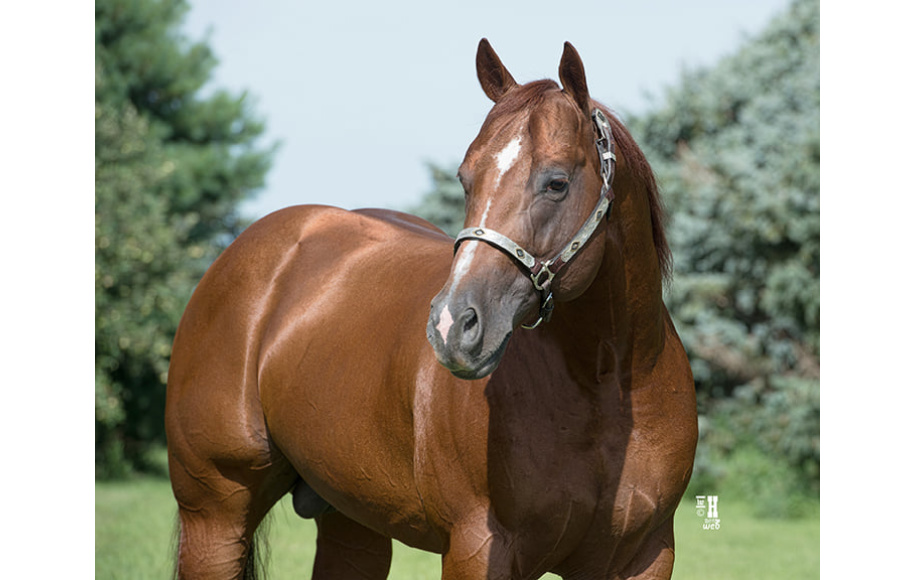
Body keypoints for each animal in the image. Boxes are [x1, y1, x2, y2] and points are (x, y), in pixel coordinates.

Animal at [166, 38, 697, 579]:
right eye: (466, 179)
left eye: (557, 183)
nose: (451, 325)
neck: (606, 387)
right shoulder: (477, 548)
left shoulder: (644, 555)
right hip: (215, 516)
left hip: (352, 521)